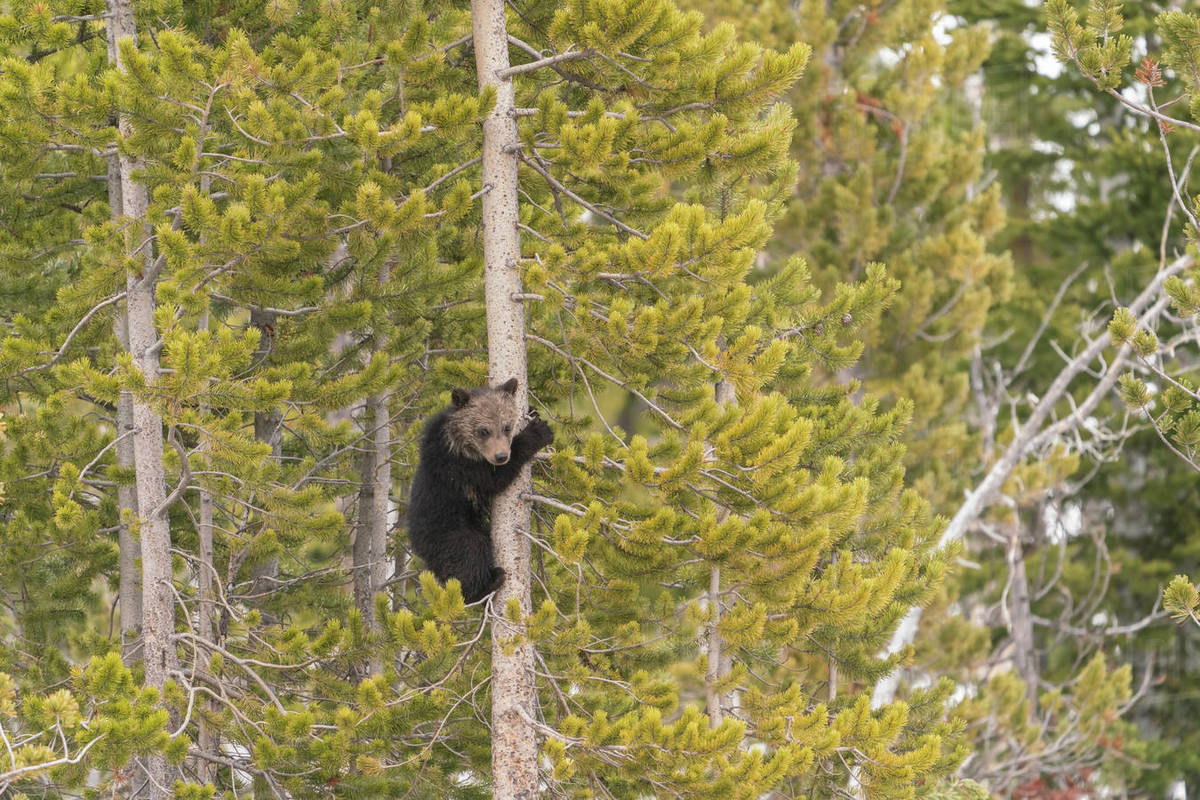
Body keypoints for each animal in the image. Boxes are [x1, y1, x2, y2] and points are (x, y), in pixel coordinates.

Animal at [407, 378, 555, 603]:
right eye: (483, 430)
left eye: (506, 427)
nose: (501, 456)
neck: (460, 444)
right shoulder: (458, 468)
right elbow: (493, 480)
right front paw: (537, 433)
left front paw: (533, 412)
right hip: (447, 531)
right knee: (469, 552)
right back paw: (489, 583)